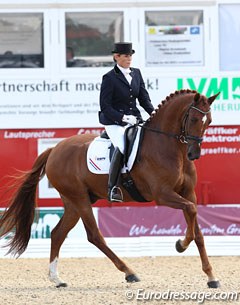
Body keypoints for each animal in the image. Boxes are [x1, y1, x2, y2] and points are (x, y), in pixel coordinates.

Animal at [0, 88, 220, 288]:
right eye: (193, 119)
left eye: (209, 121)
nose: (194, 154)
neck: (169, 147)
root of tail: (54, 149)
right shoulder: (163, 194)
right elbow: (191, 213)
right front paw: (180, 245)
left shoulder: (188, 193)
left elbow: (197, 228)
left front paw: (211, 276)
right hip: (79, 198)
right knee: (94, 236)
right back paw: (129, 272)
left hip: (73, 202)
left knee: (57, 233)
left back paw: (57, 279)